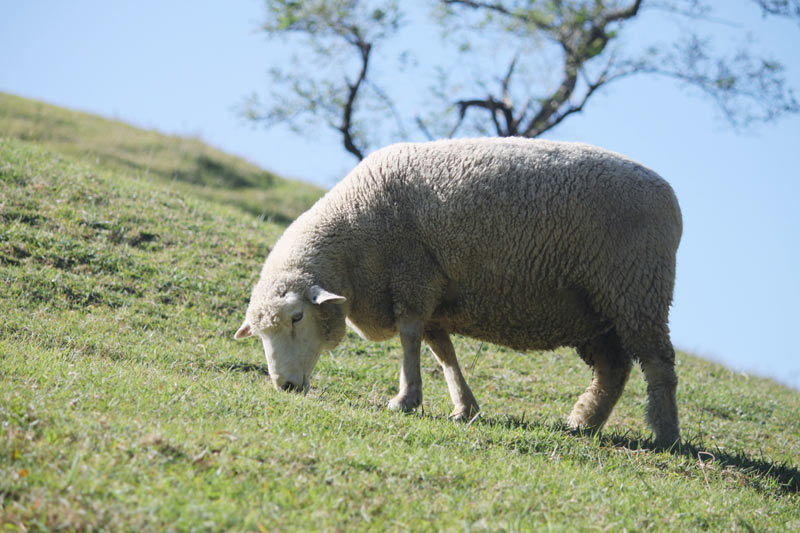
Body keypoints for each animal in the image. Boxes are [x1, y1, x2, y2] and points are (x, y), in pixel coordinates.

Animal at [234, 137, 684, 444]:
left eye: (297, 316)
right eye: (259, 334)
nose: (284, 386)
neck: (355, 234)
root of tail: (670, 197)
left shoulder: (413, 276)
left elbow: (411, 338)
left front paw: (406, 400)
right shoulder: (432, 292)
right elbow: (442, 351)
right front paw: (464, 408)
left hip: (638, 289)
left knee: (658, 363)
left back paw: (665, 435)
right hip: (596, 309)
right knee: (614, 369)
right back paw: (583, 423)